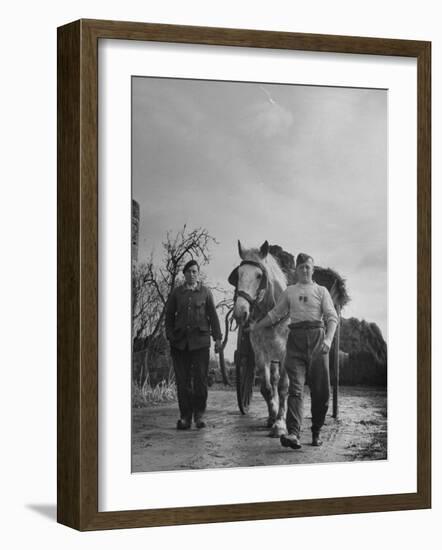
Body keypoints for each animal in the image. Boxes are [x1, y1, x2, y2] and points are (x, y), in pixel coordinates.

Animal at [228, 239, 290, 438]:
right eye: (238, 275)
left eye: (258, 275)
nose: (240, 312)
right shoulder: (259, 351)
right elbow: (267, 388)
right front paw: (272, 417)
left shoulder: (287, 352)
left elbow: (284, 387)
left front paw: (280, 424)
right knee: (274, 379)